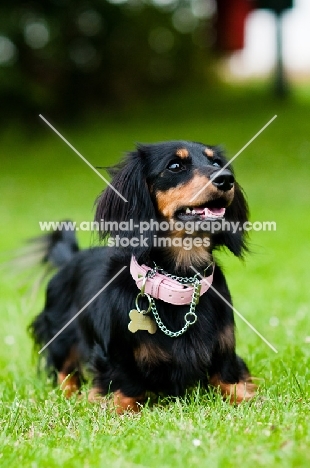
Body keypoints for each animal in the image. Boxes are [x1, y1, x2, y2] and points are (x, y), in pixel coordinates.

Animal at [29, 140, 256, 414]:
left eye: (215, 162)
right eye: (175, 166)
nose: (226, 179)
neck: (177, 285)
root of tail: (71, 257)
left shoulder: (226, 357)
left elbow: (235, 385)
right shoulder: (118, 361)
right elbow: (126, 395)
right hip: (61, 337)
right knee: (65, 373)